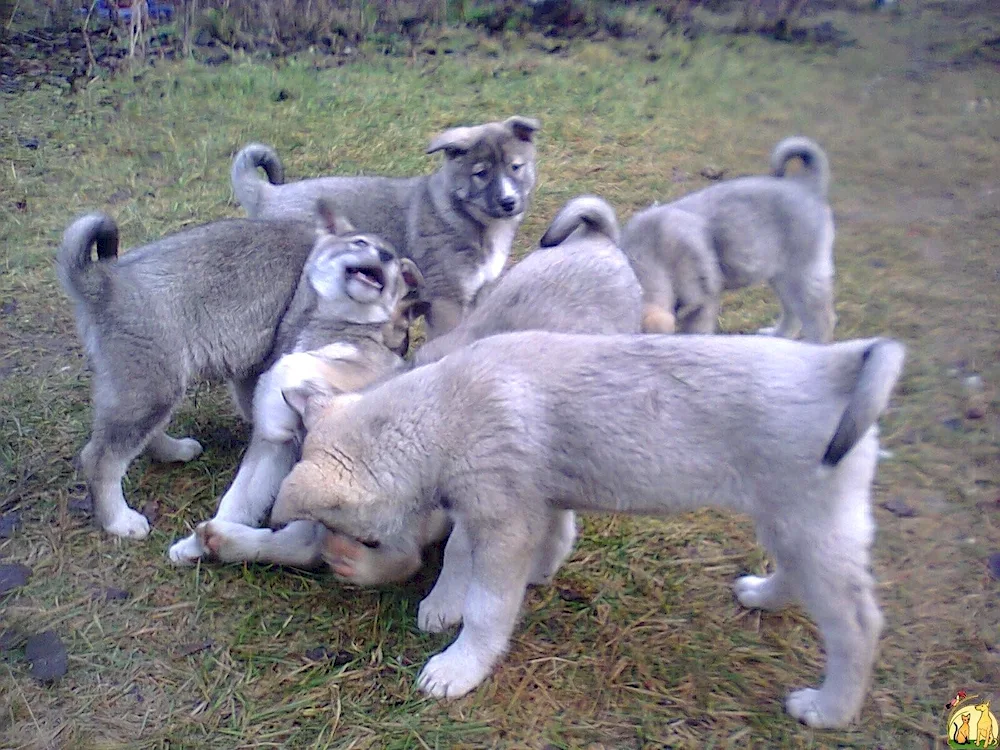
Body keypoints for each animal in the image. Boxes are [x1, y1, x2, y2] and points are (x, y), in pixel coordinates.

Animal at [58, 198, 418, 540]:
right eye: (360, 243)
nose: (385, 254)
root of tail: (103, 280)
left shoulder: (253, 367)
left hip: (150, 386)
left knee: (143, 435)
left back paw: (175, 451)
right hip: (151, 386)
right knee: (100, 459)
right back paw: (118, 520)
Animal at [183, 197, 644, 584]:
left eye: (394, 264)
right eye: (361, 242)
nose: (386, 257)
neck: (334, 329)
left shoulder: (367, 382)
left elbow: (298, 368)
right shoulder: (274, 454)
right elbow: (240, 497)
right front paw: (191, 545)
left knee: (401, 557)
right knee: (311, 544)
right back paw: (227, 541)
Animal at [230, 116, 540, 340]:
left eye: (516, 167)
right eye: (481, 173)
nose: (508, 202)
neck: (465, 217)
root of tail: (267, 195)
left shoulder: (480, 293)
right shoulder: (446, 301)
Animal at [274, 328, 908, 728]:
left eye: (352, 531)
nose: (341, 557)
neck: (440, 411)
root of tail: (837, 362)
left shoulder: (503, 520)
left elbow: (487, 605)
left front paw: (461, 663)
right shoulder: (514, 503)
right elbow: (483, 552)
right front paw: (459, 599)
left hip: (808, 526)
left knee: (858, 624)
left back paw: (830, 709)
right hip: (788, 522)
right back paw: (764, 595)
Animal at [624, 137, 836, 342]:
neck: (650, 251)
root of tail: (806, 187)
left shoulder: (703, 303)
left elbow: (695, 331)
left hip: (801, 276)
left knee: (821, 321)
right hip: (781, 277)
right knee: (793, 315)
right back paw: (777, 337)